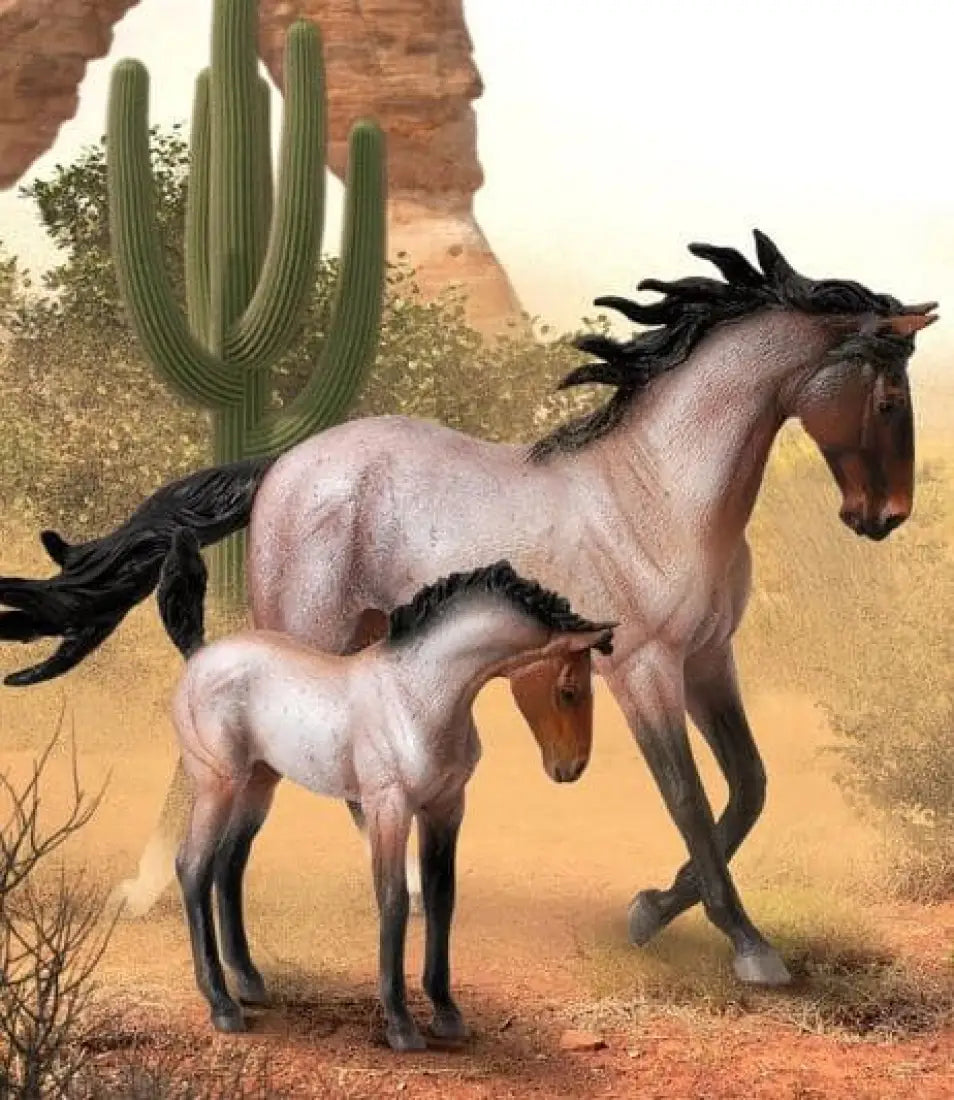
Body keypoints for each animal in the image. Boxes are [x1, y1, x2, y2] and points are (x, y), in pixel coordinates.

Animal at [0, 230, 937, 988]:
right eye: (890, 398)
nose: (883, 517)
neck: (661, 492)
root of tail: (284, 465)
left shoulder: (711, 660)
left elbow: (747, 789)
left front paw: (650, 909)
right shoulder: (642, 669)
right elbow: (689, 798)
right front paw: (748, 947)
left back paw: (408, 888)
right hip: (303, 627)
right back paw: (148, 888)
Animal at [155, 527, 615, 1049]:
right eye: (569, 689)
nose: (571, 767)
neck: (417, 695)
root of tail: (199, 655)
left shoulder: (445, 808)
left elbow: (440, 897)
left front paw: (446, 1013)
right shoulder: (389, 808)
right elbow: (394, 899)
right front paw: (400, 1023)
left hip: (259, 784)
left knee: (229, 865)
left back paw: (250, 983)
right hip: (218, 785)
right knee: (194, 867)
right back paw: (222, 1004)